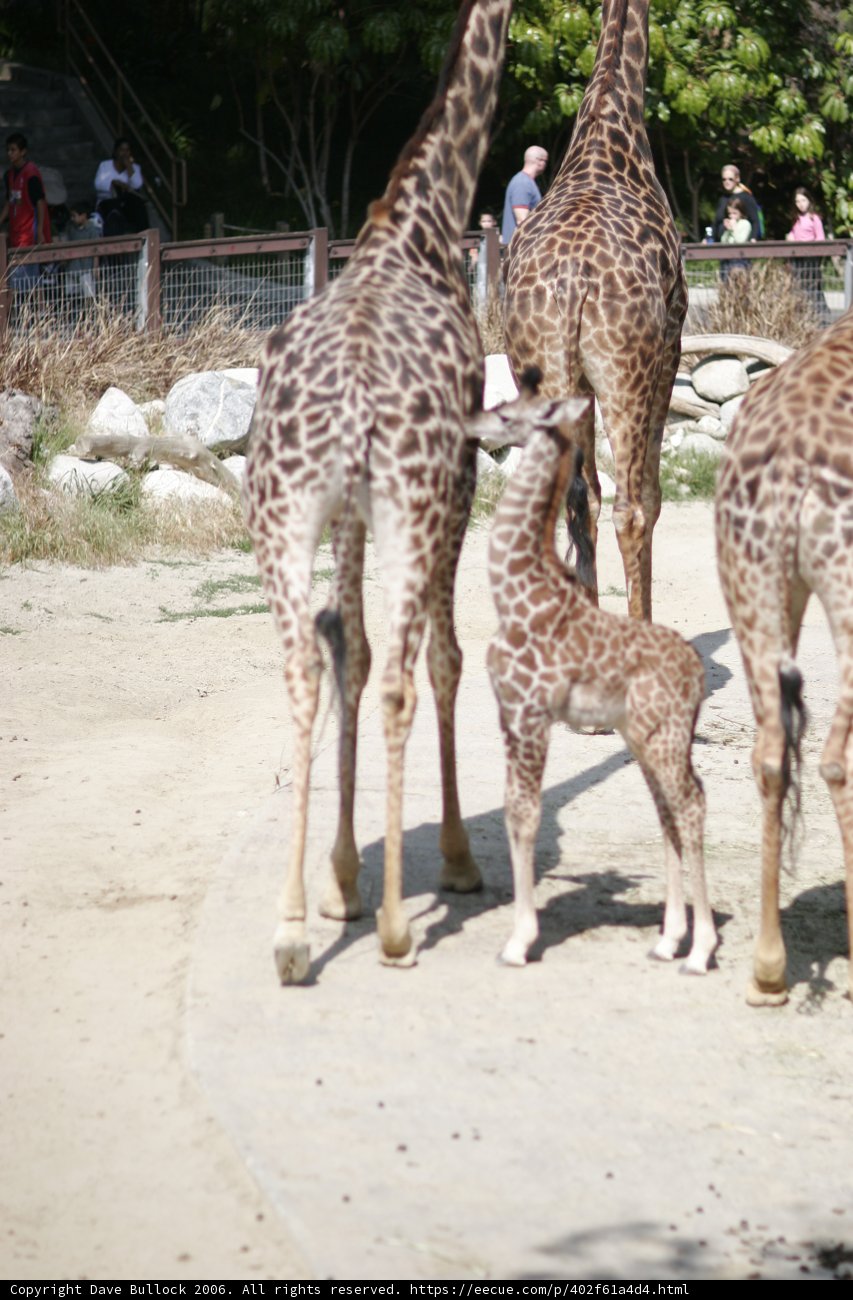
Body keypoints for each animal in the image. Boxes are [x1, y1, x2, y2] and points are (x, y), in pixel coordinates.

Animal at [243, 0, 513, 984]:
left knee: (300, 669)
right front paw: (456, 863)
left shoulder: (344, 518)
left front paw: (337, 882)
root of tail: (357, 402)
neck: (420, 221)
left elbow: (349, 655)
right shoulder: (462, 475)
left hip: (280, 512)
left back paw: (290, 934)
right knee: (404, 675)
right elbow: (440, 661)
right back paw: (399, 928)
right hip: (415, 502)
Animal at [470, 372, 717, 971]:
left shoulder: (531, 712)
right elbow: (512, 811)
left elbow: (527, 814)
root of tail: (696, 675)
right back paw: (668, 940)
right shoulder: (510, 713)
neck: (516, 593)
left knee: (691, 804)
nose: (474, 425)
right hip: (645, 736)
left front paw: (520, 941)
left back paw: (700, 950)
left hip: (662, 736)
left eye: (509, 412)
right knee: (669, 811)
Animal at [503, 0, 686, 620]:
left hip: (539, 374)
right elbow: (649, 495)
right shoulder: (670, 348)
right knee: (631, 507)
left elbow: (588, 501)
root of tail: (570, 283)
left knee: (571, 503)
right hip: (625, 374)